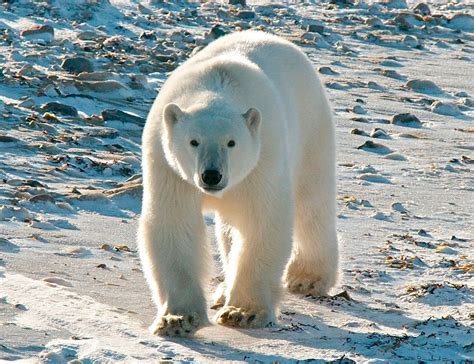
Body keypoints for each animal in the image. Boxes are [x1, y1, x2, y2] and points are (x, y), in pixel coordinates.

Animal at [139, 29, 338, 336]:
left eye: (231, 142)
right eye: (193, 141)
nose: (211, 175)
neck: (216, 84)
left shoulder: (263, 158)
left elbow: (260, 221)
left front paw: (243, 313)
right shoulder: (168, 166)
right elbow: (174, 223)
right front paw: (177, 319)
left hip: (311, 127)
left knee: (311, 202)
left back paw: (308, 276)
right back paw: (223, 289)